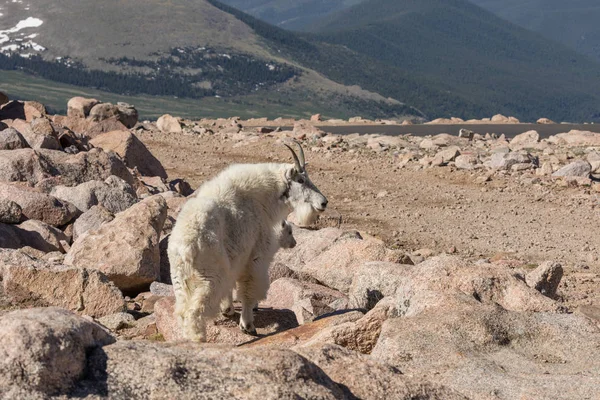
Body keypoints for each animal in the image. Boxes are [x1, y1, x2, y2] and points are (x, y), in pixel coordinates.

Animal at [168, 143, 328, 340]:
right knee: (195, 312)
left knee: (182, 311)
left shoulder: (236, 259)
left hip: (179, 279)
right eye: (300, 180)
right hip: (209, 276)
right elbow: (249, 291)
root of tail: (185, 245)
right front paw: (248, 325)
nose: (323, 203)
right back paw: (199, 340)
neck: (264, 197)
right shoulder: (255, 256)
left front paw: (228, 310)